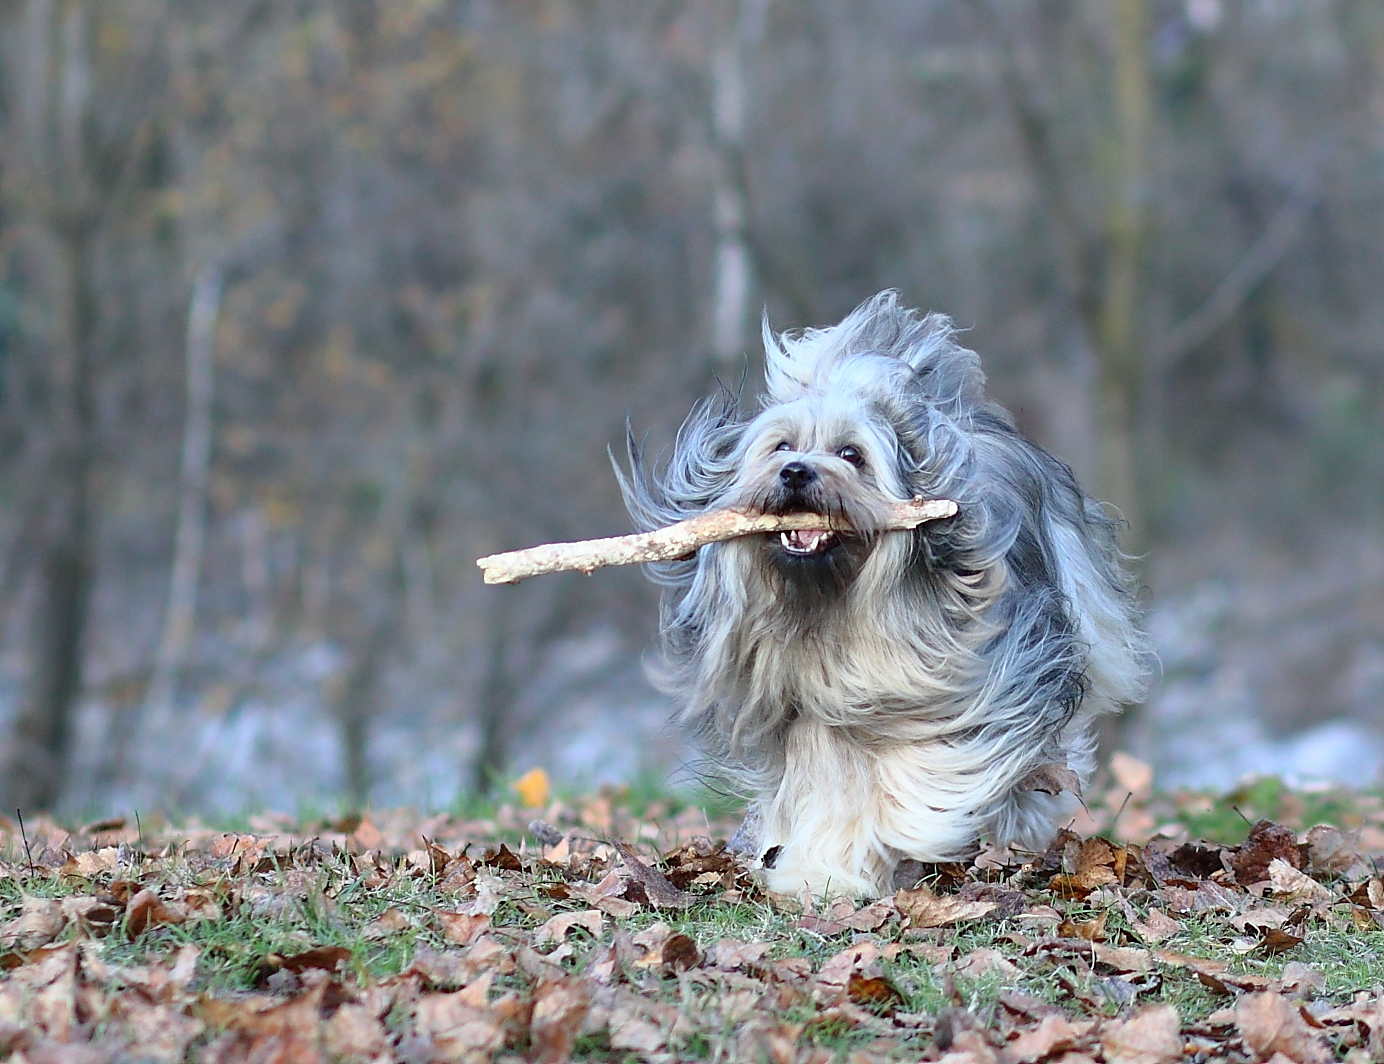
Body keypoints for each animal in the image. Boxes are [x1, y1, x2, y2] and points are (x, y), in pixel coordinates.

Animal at [617, 290, 1145, 896]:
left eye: (852, 455)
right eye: (781, 447)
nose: (795, 473)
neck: (836, 605)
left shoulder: (985, 681)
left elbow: (925, 770)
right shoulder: (804, 706)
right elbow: (833, 781)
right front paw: (821, 869)